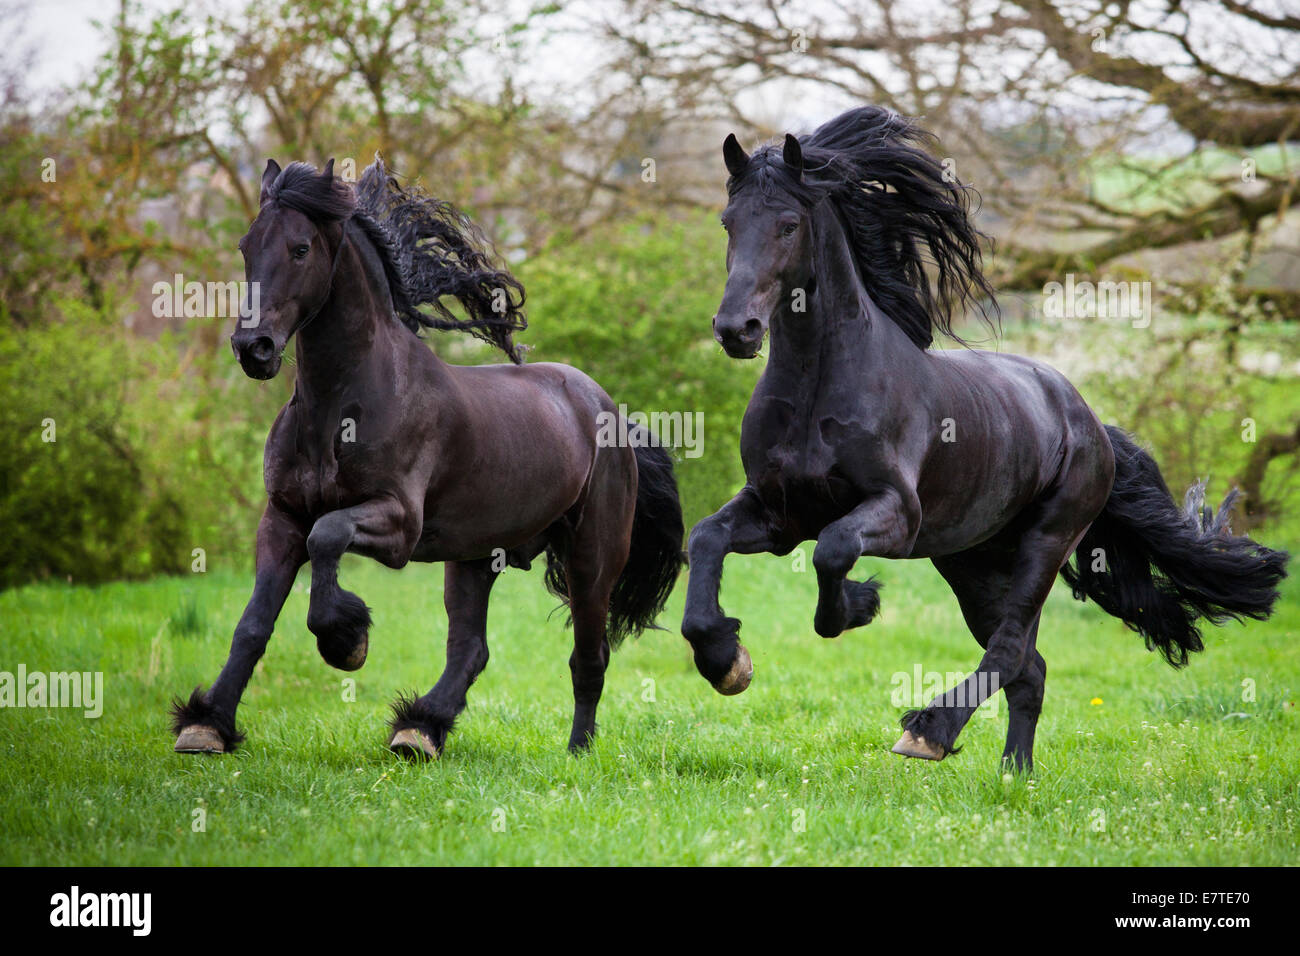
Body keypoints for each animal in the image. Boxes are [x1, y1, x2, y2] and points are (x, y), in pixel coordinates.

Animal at [171, 157, 684, 759]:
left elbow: (328, 537)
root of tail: (611, 412)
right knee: (471, 647)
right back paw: (419, 729)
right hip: (475, 555)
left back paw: (576, 751)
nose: (254, 348)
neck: (341, 408)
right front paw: (206, 725)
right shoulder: (282, 518)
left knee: (588, 654)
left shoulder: (398, 524)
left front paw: (347, 641)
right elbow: (253, 625)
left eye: (300, 248)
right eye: (246, 245)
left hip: (592, 555)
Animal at [680, 106, 1289, 772]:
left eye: (788, 225)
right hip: (971, 562)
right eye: (728, 222)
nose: (736, 329)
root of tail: (1088, 420)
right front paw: (726, 661)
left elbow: (834, 552)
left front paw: (861, 604)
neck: (821, 389)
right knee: (1029, 667)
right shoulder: (779, 513)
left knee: (1009, 650)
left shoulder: (896, 514)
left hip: (1044, 545)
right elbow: (705, 538)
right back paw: (1013, 775)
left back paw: (929, 732)